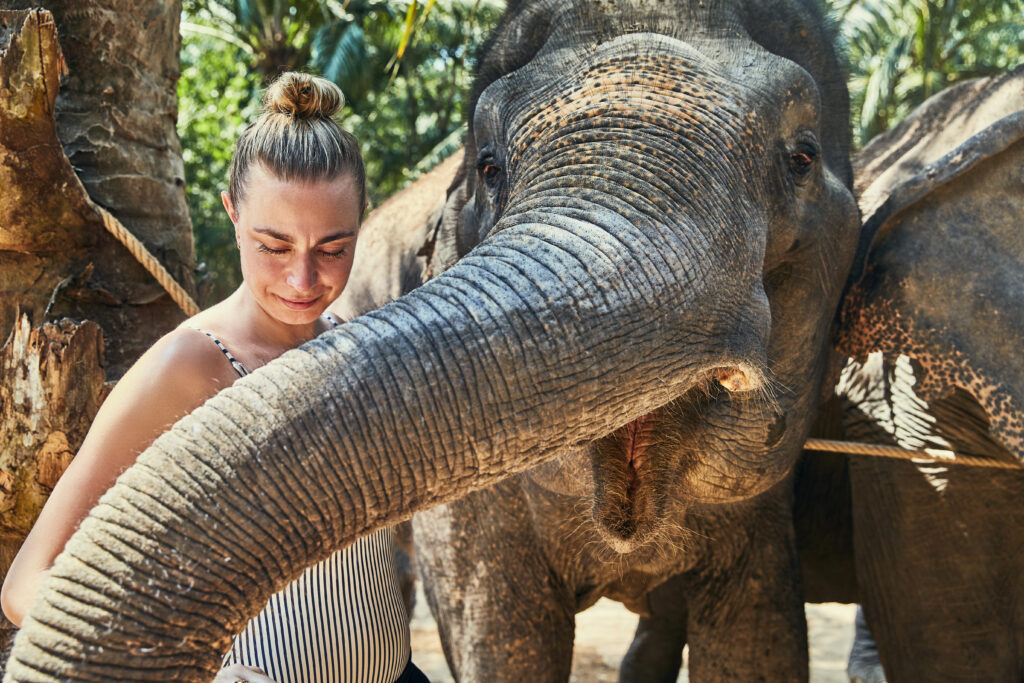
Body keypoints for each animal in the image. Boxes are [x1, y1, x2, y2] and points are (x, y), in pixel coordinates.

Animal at [6, 2, 864, 679]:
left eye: (802, 156)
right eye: (489, 166)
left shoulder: (762, 515)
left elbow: (758, 642)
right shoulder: (475, 517)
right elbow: (500, 639)